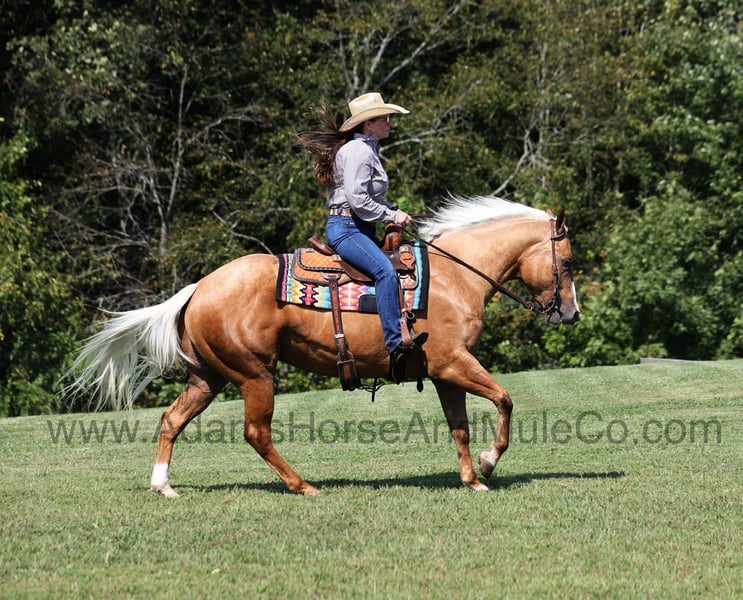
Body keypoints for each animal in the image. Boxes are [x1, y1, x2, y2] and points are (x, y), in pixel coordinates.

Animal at [68, 195, 581, 496]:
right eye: (570, 262)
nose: (571, 314)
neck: (455, 278)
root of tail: (198, 288)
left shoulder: (443, 374)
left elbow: (460, 427)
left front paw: (473, 479)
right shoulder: (455, 363)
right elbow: (505, 401)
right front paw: (489, 465)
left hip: (208, 378)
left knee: (172, 419)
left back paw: (164, 486)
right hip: (255, 375)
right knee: (256, 433)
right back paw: (303, 486)